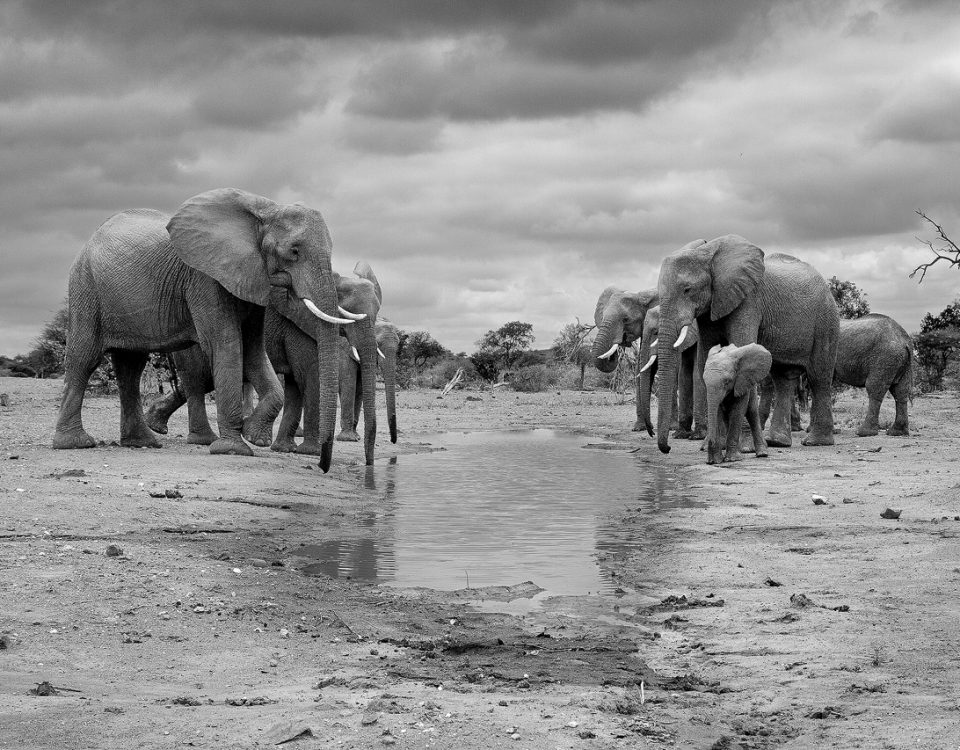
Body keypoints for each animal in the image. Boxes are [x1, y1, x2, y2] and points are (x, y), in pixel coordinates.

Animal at [52, 188, 357, 469]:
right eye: (294, 251)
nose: (322, 466)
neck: (264, 211)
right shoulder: (204, 277)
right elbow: (226, 343)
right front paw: (233, 449)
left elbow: (253, 351)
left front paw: (254, 436)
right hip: (85, 286)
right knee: (85, 357)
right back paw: (75, 443)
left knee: (131, 366)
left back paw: (142, 442)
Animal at [654, 236, 839, 455]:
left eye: (687, 290)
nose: (667, 448)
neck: (708, 253)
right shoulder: (711, 307)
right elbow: (705, 359)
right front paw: (710, 445)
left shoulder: (748, 301)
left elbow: (742, 347)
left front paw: (745, 448)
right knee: (783, 379)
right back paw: (777, 442)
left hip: (826, 320)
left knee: (819, 376)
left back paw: (815, 442)